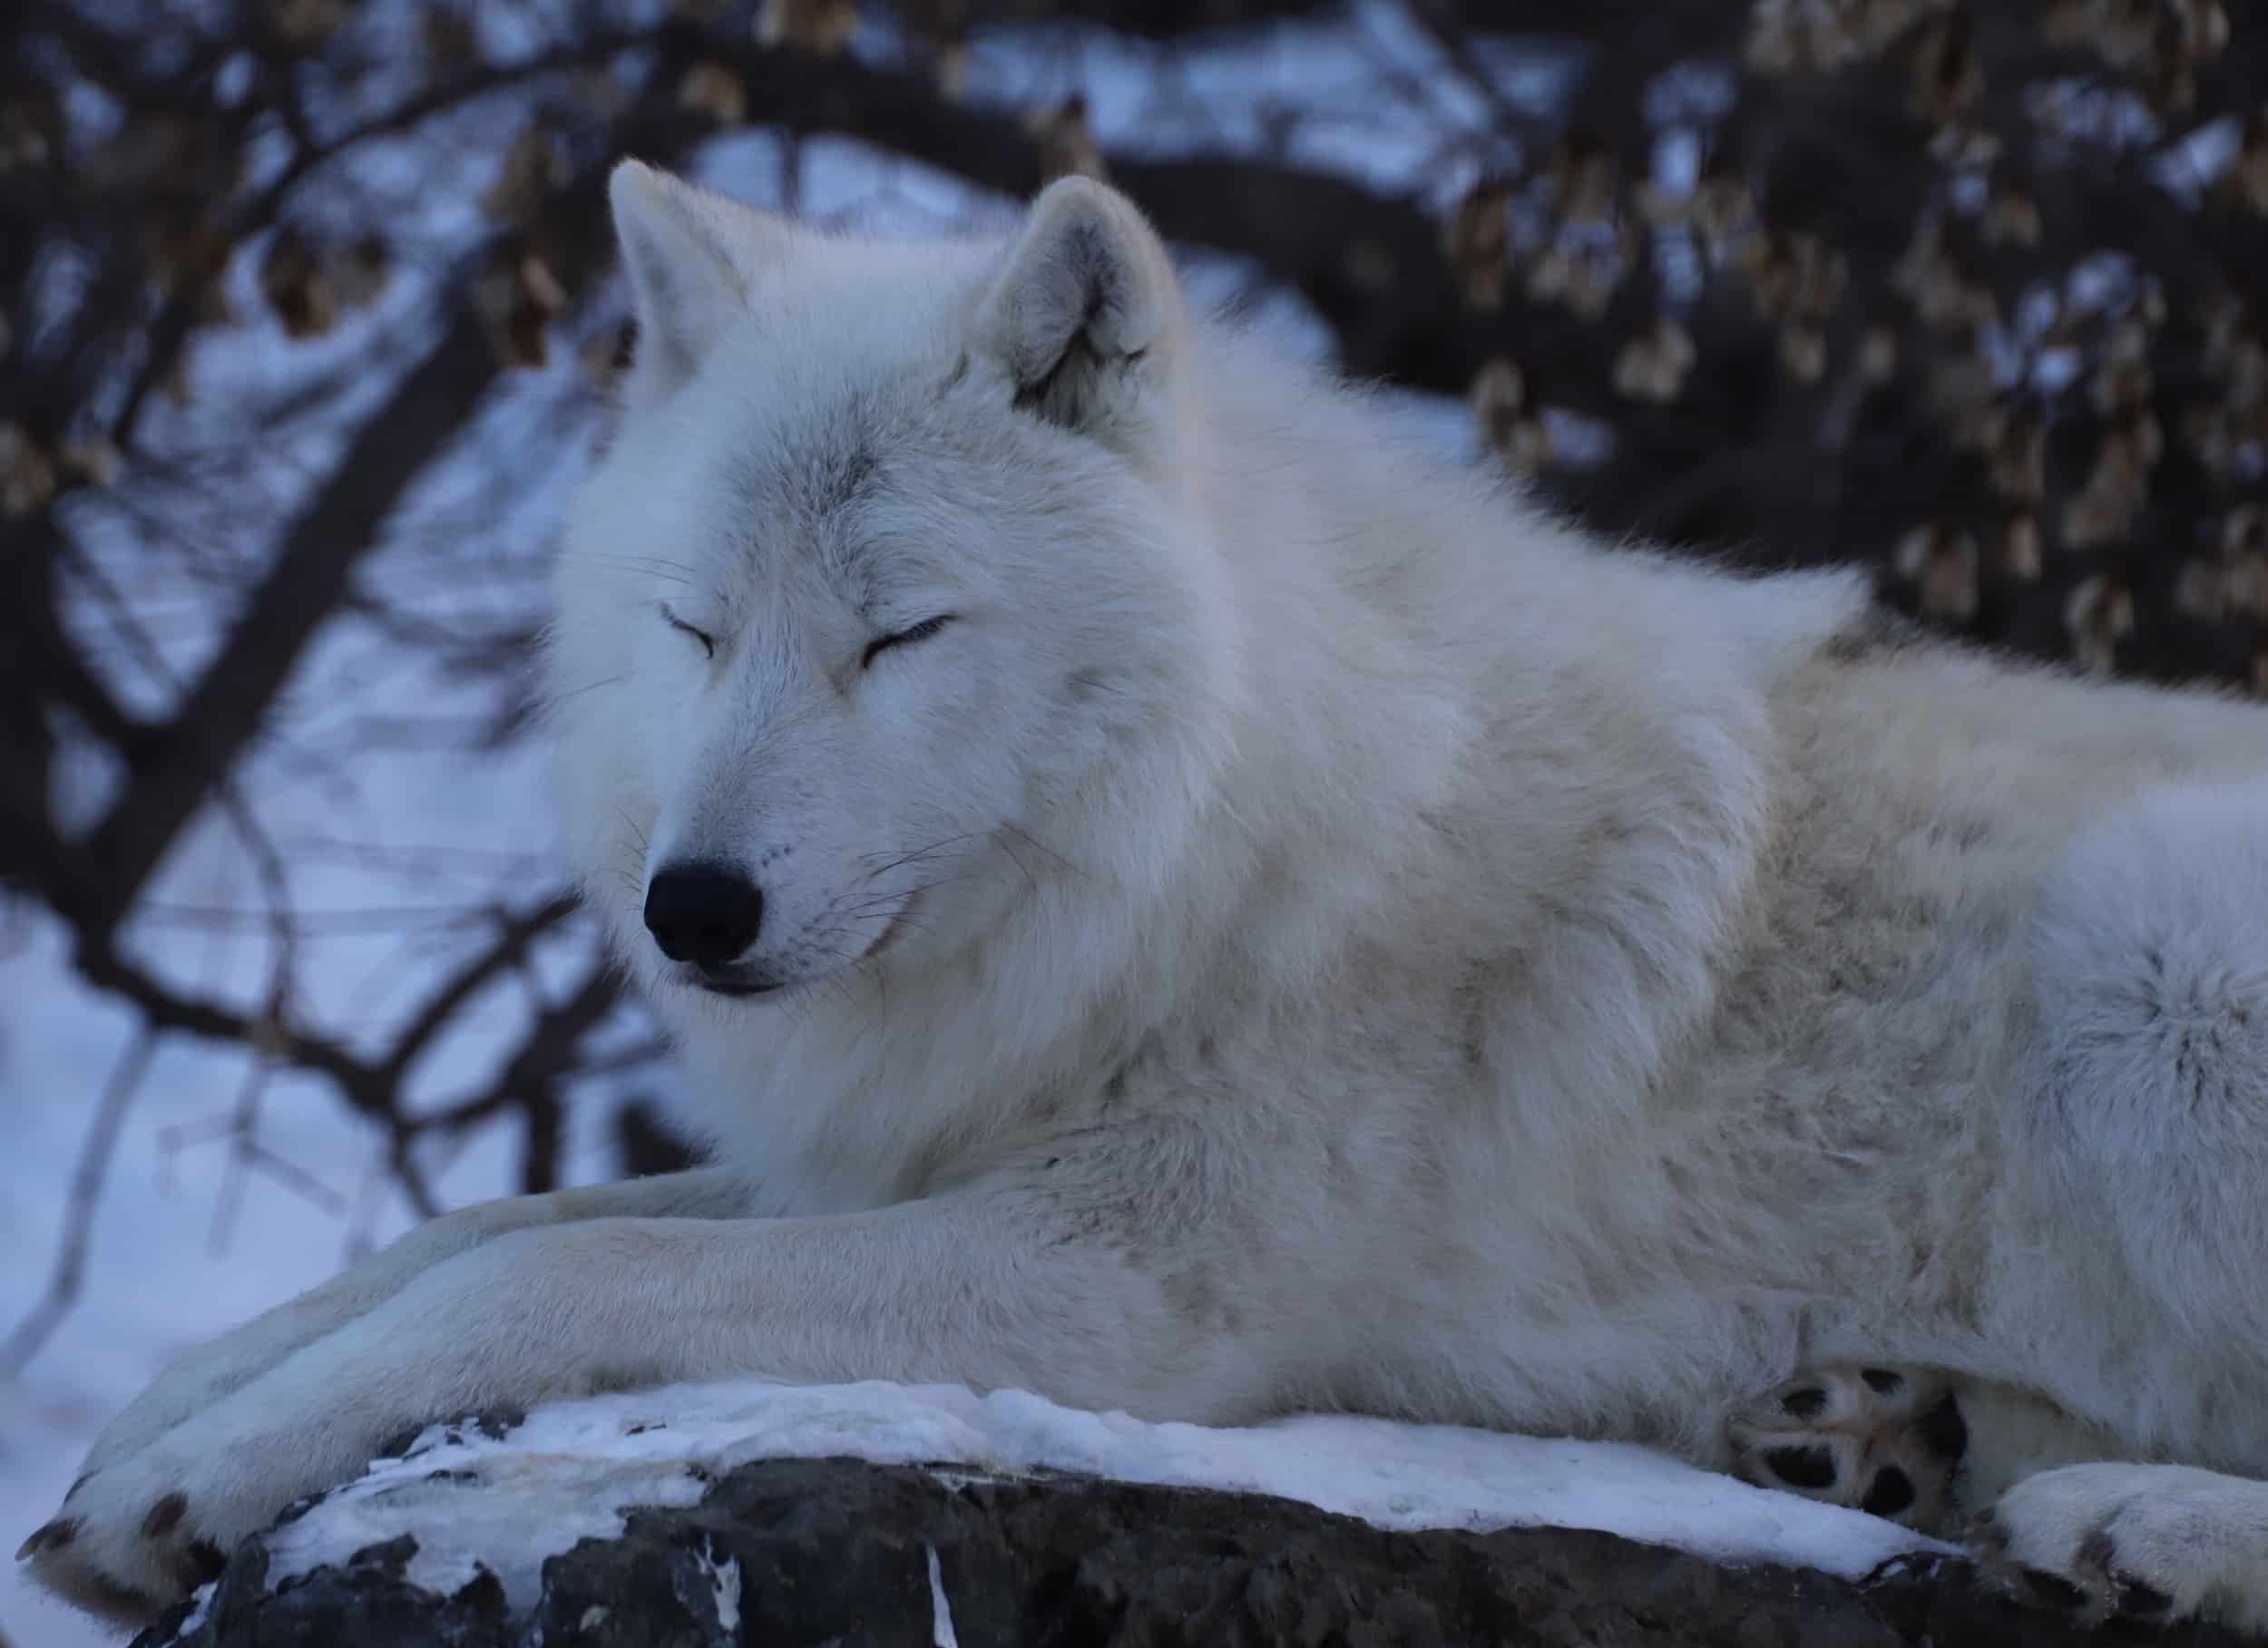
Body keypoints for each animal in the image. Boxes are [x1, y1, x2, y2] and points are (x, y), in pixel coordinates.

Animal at [17, 157, 2268, 1641]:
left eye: (901, 633)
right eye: (695, 626)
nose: (695, 910)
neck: (1205, 848)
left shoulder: (1111, 1278)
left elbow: (562, 1271)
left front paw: (195, 1468)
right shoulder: (903, 1145)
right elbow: (481, 1227)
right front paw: (159, 1437)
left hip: (2143, 947)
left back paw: (2120, 1517)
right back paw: (1876, 1434)